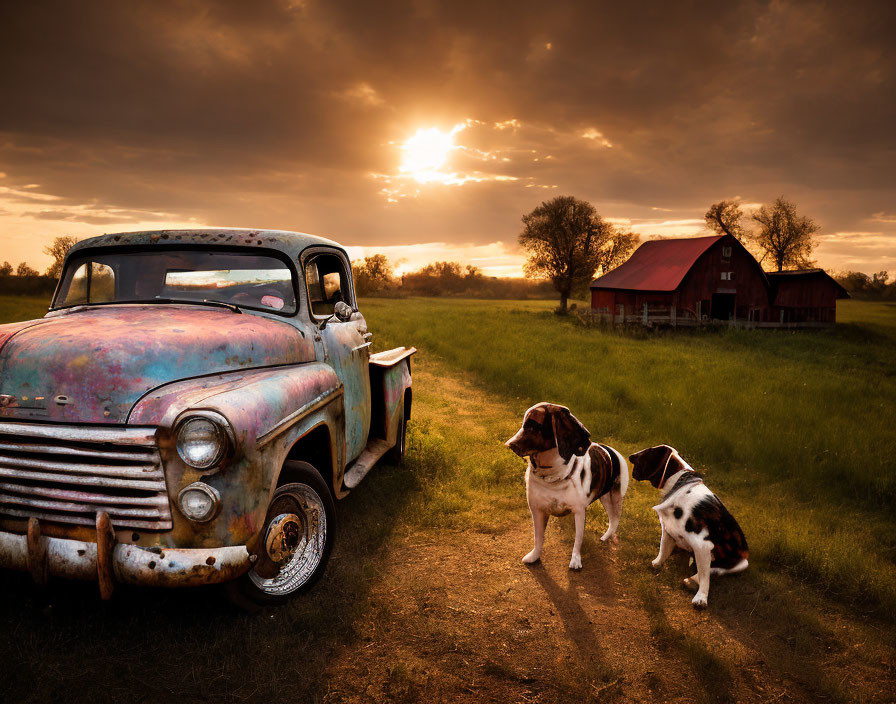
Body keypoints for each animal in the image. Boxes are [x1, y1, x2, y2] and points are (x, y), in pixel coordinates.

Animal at [504, 404, 632, 568]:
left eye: (533, 426)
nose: (509, 444)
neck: (552, 476)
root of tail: (612, 451)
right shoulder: (537, 511)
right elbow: (538, 538)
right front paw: (535, 556)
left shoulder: (579, 511)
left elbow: (578, 540)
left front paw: (576, 560)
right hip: (605, 497)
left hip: (615, 497)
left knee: (615, 519)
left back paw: (607, 536)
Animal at [632, 448, 748, 608]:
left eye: (647, 453)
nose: (631, 456)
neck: (680, 484)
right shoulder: (667, 529)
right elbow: (663, 549)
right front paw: (657, 563)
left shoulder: (703, 545)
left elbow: (705, 574)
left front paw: (701, 597)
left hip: (742, 562)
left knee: (715, 569)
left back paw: (692, 580)